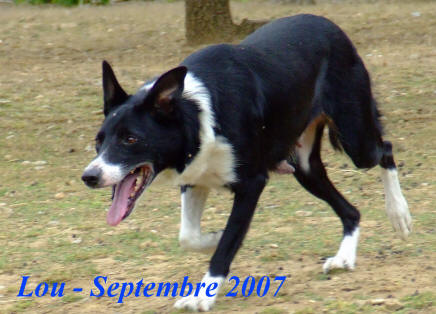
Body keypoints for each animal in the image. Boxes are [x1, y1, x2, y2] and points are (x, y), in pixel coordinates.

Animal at [82, 14, 412, 310]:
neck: (197, 114)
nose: (89, 176)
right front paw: (213, 237)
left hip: (357, 141)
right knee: (351, 211)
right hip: (304, 168)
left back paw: (398, 213)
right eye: (99, 141)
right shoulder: (195, 178)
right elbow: (189, 237)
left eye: (130, 139)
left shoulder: (252, 184)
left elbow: (227, 245)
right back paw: (345, 256)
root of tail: (330, 24)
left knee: (385, 149)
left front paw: (203, 295)